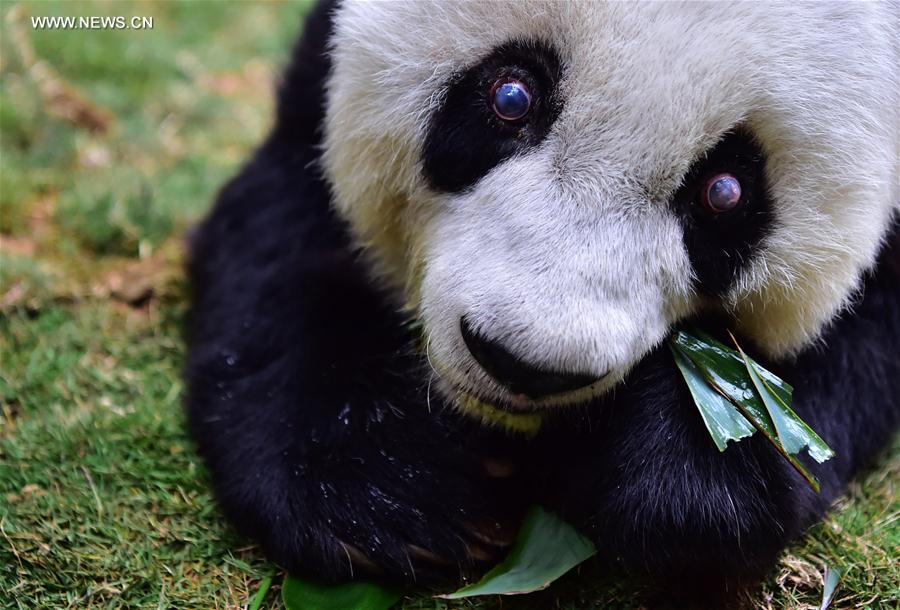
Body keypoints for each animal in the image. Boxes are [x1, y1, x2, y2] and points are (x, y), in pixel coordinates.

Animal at [185, 0, 900, 604]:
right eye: (511, 96)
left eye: (725, 192)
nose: (521, 363)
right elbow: (283, 239)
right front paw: (384, 490)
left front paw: (685, 477)